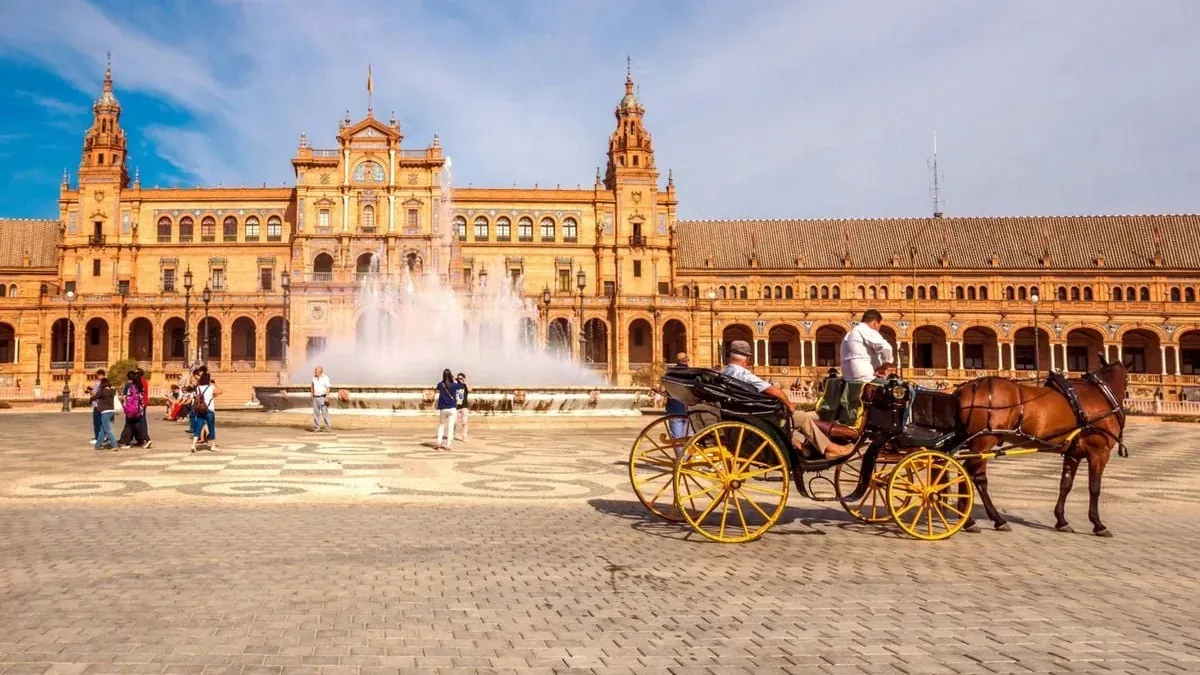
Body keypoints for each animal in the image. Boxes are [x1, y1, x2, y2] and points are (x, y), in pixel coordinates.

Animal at [950, 357, 1128, 535]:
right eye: (1126, 380)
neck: (1101, 393)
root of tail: (964, 388)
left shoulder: (1073, 454)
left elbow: (1065, 484)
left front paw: (1061, 521)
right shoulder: (1099, 452)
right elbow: (1095, 487)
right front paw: (1098, 524)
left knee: (965, 472)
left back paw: (969, 520)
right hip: (984, 441)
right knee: (975, 476)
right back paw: (992, 520)